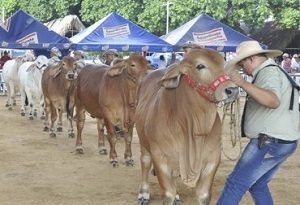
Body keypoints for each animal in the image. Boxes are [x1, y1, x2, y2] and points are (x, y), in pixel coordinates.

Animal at [135, 48, 239, 205]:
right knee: (145, 162)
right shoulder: (160, 156)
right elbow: (168, 193)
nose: (232, 90)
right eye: (200, 66)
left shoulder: (213, 157)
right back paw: (144, 193)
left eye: (224, 64)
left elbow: (203, 194)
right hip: (143, 142)